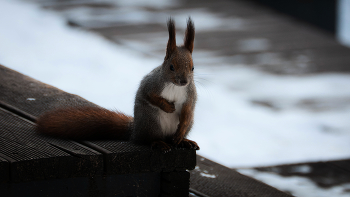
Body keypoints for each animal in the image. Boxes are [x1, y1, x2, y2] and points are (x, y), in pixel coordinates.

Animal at [37, 17, 200, 152]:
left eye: (193, 68)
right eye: (171, 67)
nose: (184, 81)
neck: (175, 86)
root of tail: (135, 131)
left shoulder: (190, 95)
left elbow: (187, 111)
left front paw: (180, 133)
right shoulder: (152, 84)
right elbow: (150, 96)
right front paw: (167, 106)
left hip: (186, 123)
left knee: (178, 132)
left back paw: (183, 141)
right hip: (151, 121)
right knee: (147, 140)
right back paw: (158, 143)